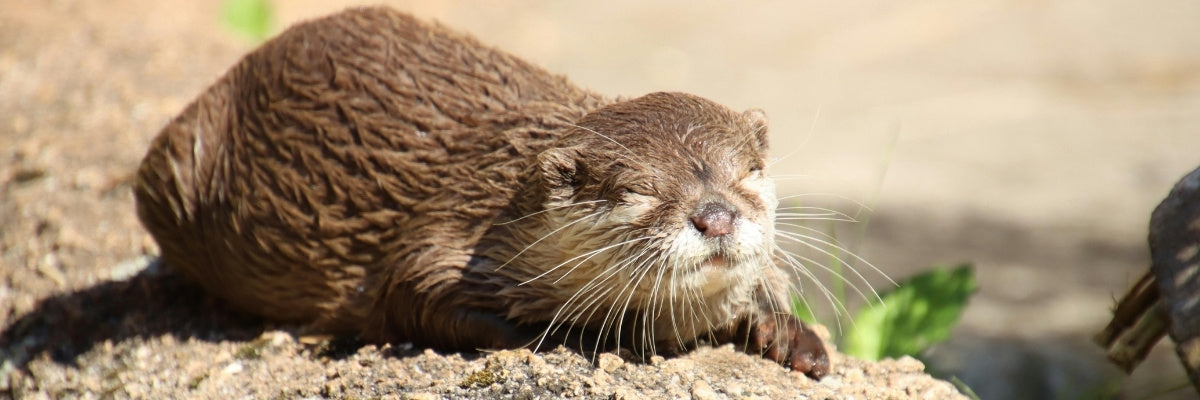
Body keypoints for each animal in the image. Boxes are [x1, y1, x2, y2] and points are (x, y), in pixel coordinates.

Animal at [134, 6, 829, 378]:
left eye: (745, 174)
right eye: (640, 190)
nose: (715, 216)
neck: (496, 205)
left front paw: (790, 335)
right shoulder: (440, 241)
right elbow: (416, 296)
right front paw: (593, 337)